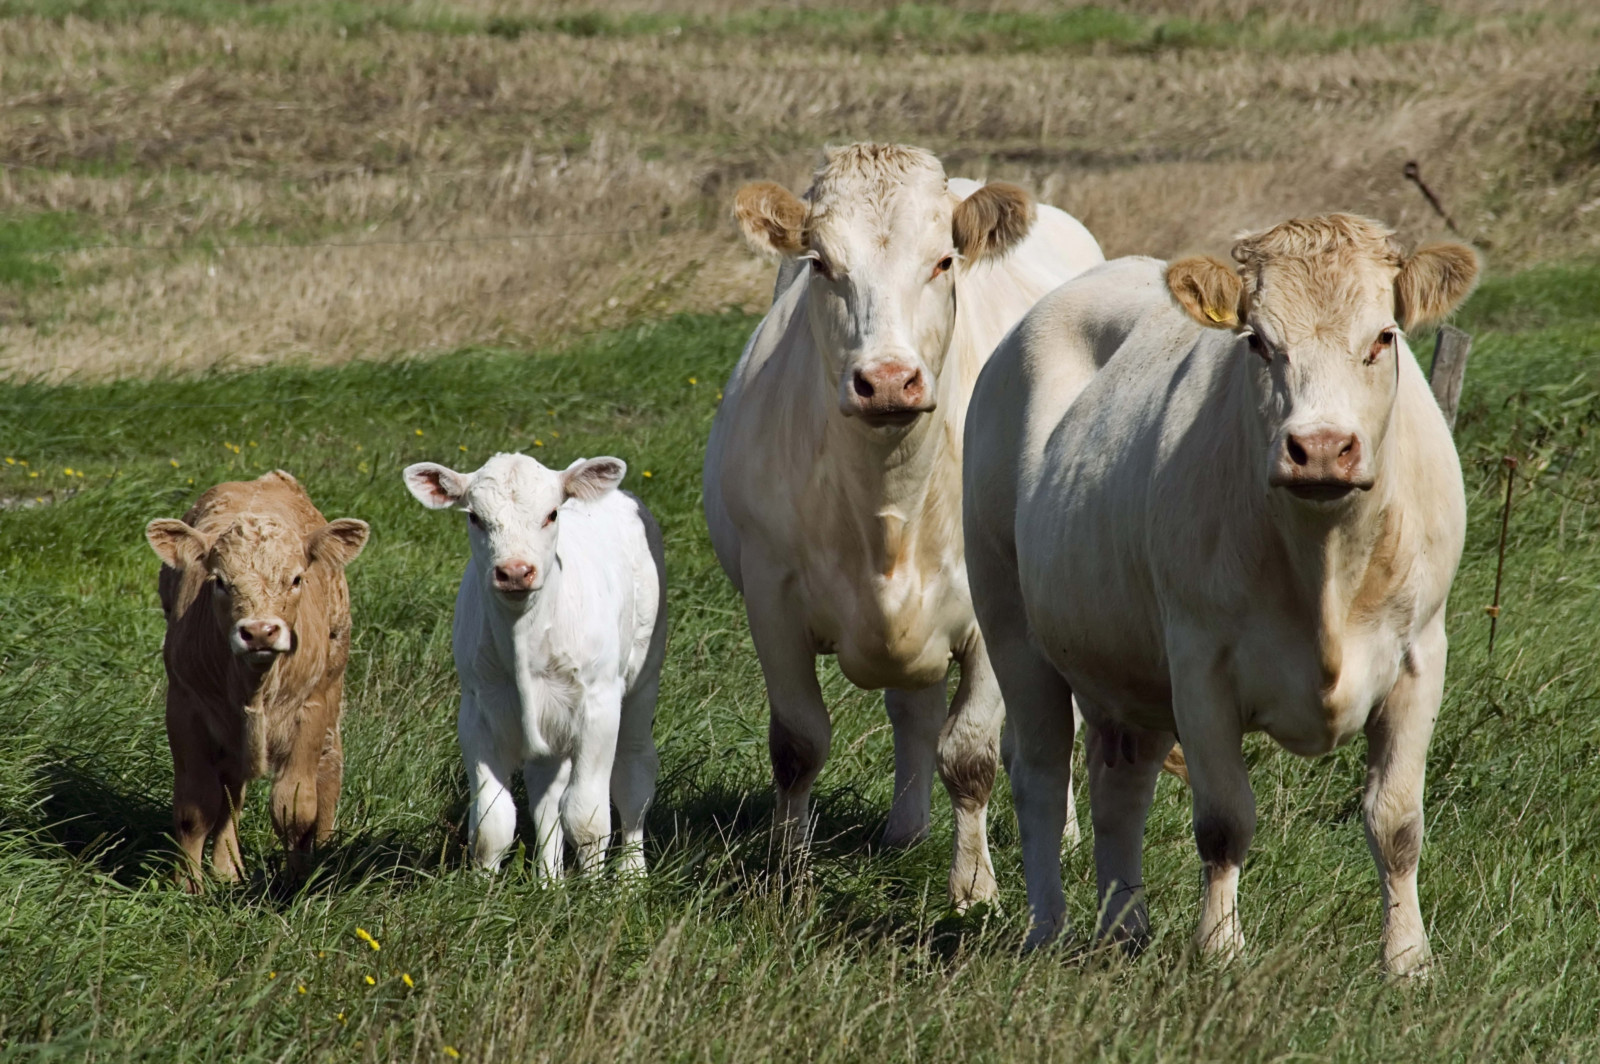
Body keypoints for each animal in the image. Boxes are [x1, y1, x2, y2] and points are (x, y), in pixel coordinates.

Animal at [145, 470, 369, 890]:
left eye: (296, 579)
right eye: (219, 581)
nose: (260, 632)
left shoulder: (310, 711)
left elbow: (294, 809)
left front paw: (296, 884)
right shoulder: (184, 708)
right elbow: (196, 807)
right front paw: (188, 885)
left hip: (332, 688)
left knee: (329, 766)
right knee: (232, 791)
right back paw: (227, 869)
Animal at [403, 453, 666, 877]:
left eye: (551, 514)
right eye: (474, 517)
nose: (514, 571)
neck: (523, 639)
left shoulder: (598, 705)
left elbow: (587, 817)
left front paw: (595, 889)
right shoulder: (476, 712)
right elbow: (492, 824)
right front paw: (480, 889)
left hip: (644, 677)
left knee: (634, 777)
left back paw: (631, 877)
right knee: (546, 796)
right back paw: (549, 881)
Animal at [703, 142, 1104, 908]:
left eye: (944, 260)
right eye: (820, 263)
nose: (888, 380)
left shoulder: (992, 610)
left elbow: (972, 752)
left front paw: (974, 887)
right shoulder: (771, 597)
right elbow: (798, 745)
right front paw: (789, 876)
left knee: (1047, 726)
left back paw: (1066, 837)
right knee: (914, 714)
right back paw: (907, 832)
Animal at [963, 215, 1478, 974]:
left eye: (1384, 336)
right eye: (1258, 341)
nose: (1320, 448)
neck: (1325, 566)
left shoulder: (1420, 656)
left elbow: (1396, 822)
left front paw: (1408, 961)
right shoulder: (1200, 665)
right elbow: (1225, 822)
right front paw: (1220, 949)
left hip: (1123, 664)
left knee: (1120, 790)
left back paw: (1124, 927)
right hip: (1009, 623)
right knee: (1040, 776)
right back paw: (1048, 929)